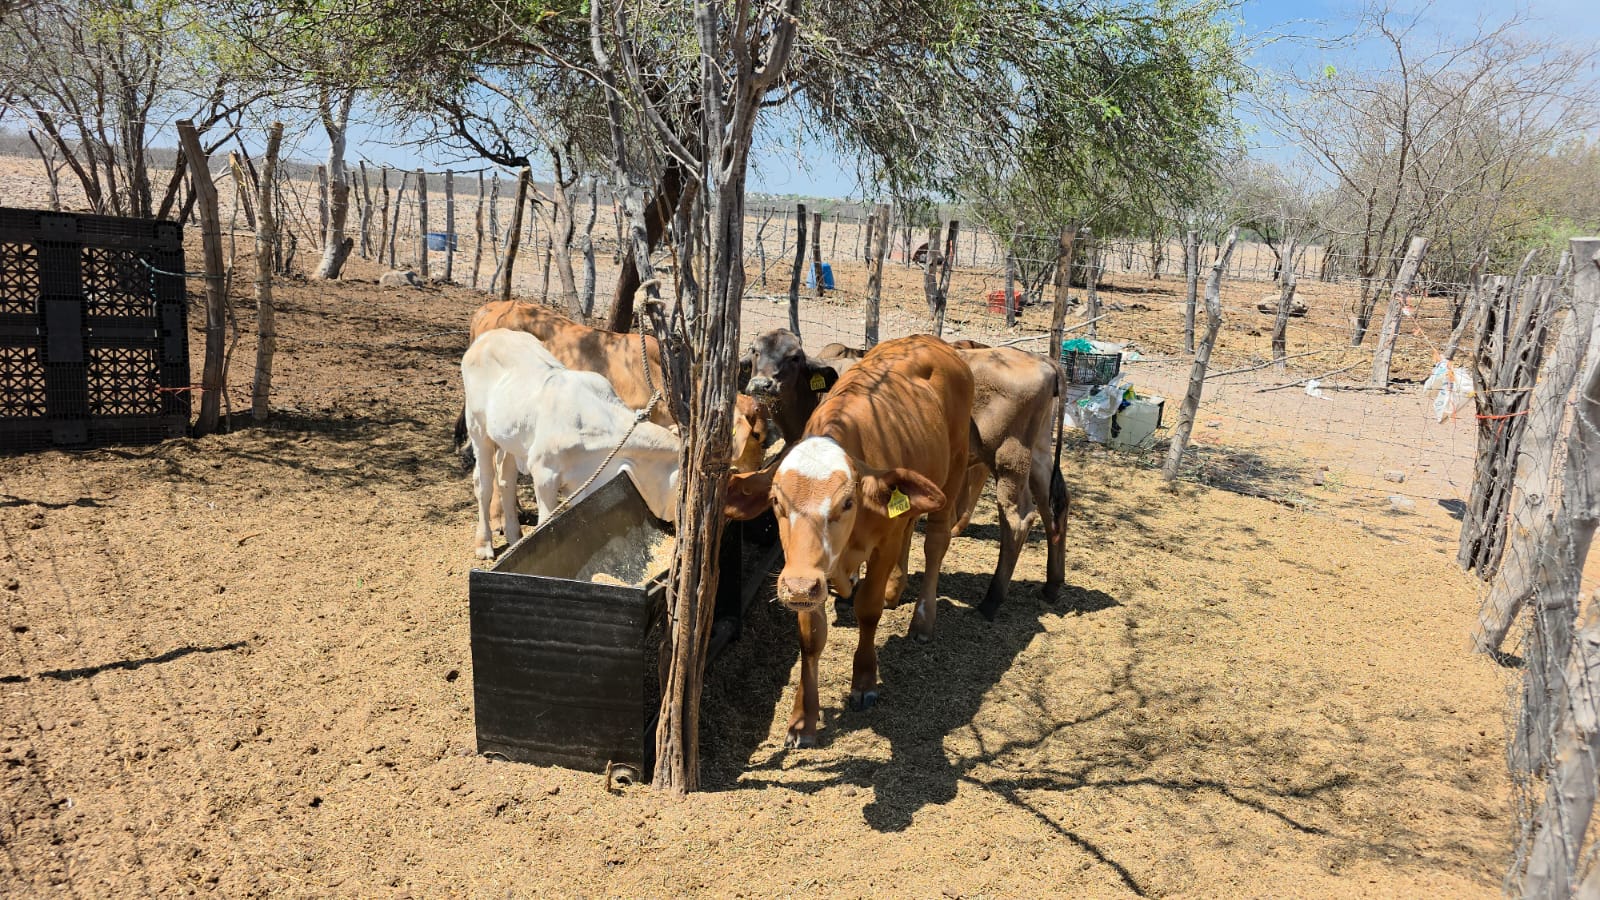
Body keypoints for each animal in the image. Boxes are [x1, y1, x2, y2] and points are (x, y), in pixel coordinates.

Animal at [461, 329, 681, 559]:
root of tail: (489, 335)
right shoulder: (544, 474)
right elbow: (545, 522)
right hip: (478, 428)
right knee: (483, 483)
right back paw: (484, 544)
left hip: (510, 440)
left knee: (506, 480)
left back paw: (514, 536)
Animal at [725, 335, 973, 748]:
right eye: (776, 501)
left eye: (847, 502)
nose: (797, 587)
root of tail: (930, 340)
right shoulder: (807, 569)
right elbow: (810, 636)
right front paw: (802, 719)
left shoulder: (881, 544)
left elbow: (867, 610)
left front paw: (864, 680)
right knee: (910, 527)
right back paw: (896, 588)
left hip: (955, 467)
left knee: (935, 542)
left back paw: (923, 619)